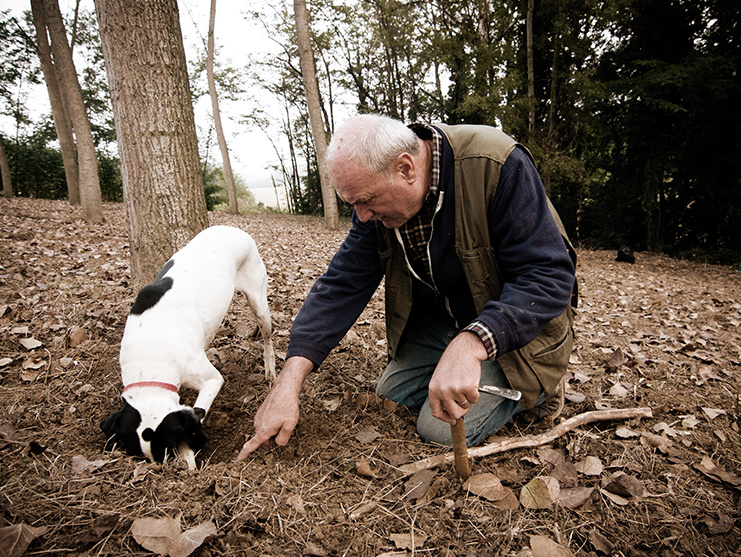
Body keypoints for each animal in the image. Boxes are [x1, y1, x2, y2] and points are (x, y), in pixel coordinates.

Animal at [100, 224, 274, 466]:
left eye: (169, 447)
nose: (162, 468)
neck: (151, 357)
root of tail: (232, 228)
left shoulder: (211, 380)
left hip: (258, 301)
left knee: (267, 336)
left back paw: (270, 369)